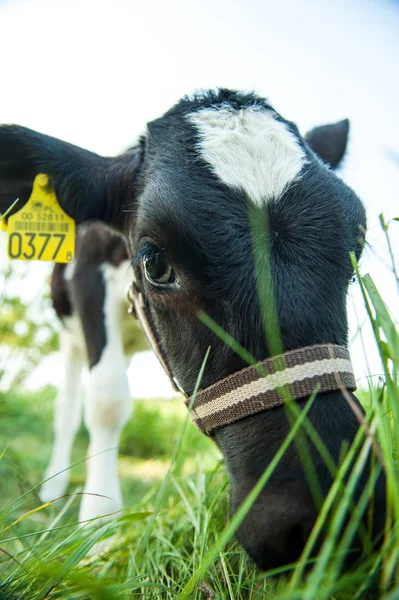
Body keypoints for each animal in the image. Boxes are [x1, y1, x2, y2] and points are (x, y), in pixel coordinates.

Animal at [41, 224, 148, 520]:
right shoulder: (89, 277)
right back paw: (54, 484)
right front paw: (99, 516)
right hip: (71, 336)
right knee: (67, 408)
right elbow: (108, 402)